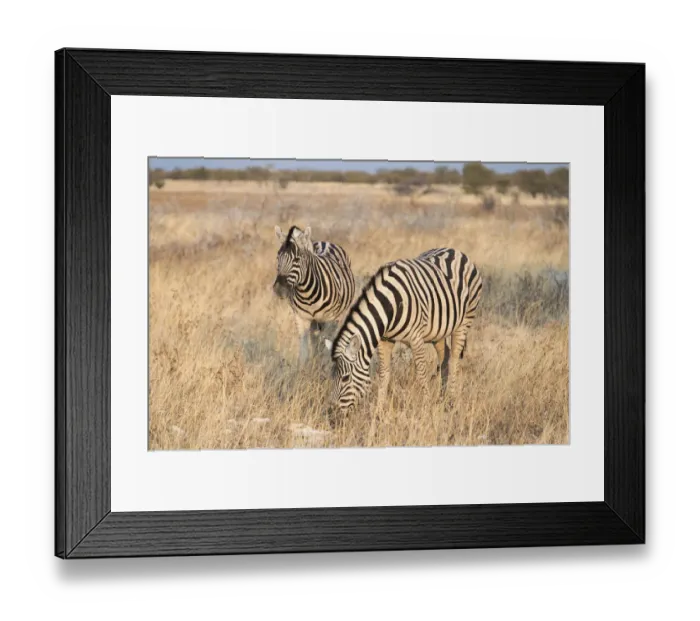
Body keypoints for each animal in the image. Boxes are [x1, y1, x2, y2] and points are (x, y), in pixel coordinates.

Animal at [273, 225, 356, 365]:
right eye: (278, 257)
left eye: (297, 259)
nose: (279, 289)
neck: (307, 294)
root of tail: (325, 242)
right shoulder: (301, 318)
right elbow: (304, 352)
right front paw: (305, 368)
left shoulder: (328, 319)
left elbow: (325, 347)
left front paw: (322, 366)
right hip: (314, 321)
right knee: (314, 339)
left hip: (338, 316)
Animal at [323, 247, 483, 417]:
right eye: (332, 376)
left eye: (346, 378)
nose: (332, 412)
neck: (390, 305)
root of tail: (455, 250)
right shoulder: (384, 340)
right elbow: (384, 373)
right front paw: (379, 412)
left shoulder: (416, 338)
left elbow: (421, 374)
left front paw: (426, 408)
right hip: (438, 332)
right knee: (444, 359)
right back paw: (443, 399)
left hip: (464, 321)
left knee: (453, 361)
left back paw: (452, 402)